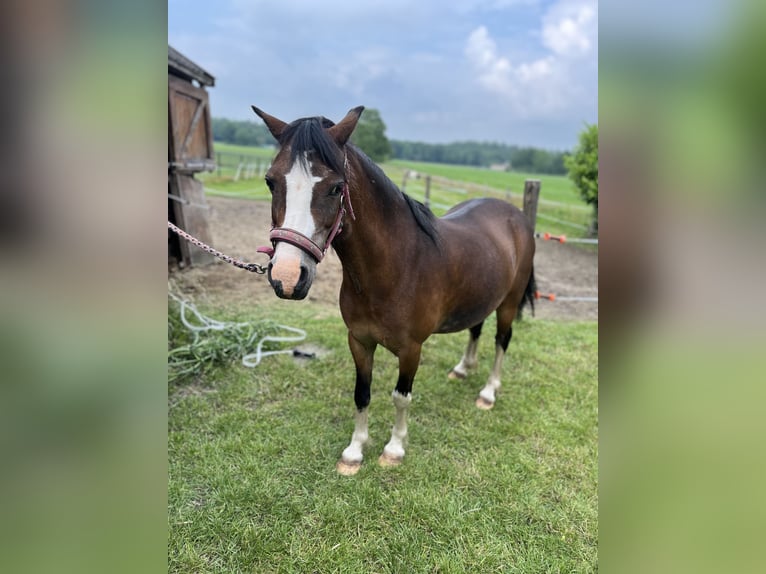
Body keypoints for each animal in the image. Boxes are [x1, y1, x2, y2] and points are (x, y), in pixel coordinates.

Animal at [252, 104, 536, 476]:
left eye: (335, 188)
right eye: (271, 181)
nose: (286, 276)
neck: (394, 269)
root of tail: (516, 215)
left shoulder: (411, 349)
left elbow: (401, 397)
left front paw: (394, 450)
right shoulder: (359, 341)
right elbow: (362, 393)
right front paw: (354, 452)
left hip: (509, 302)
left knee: (502, 340)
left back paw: (488, 392)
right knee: (476, 328)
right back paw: (463, 369)